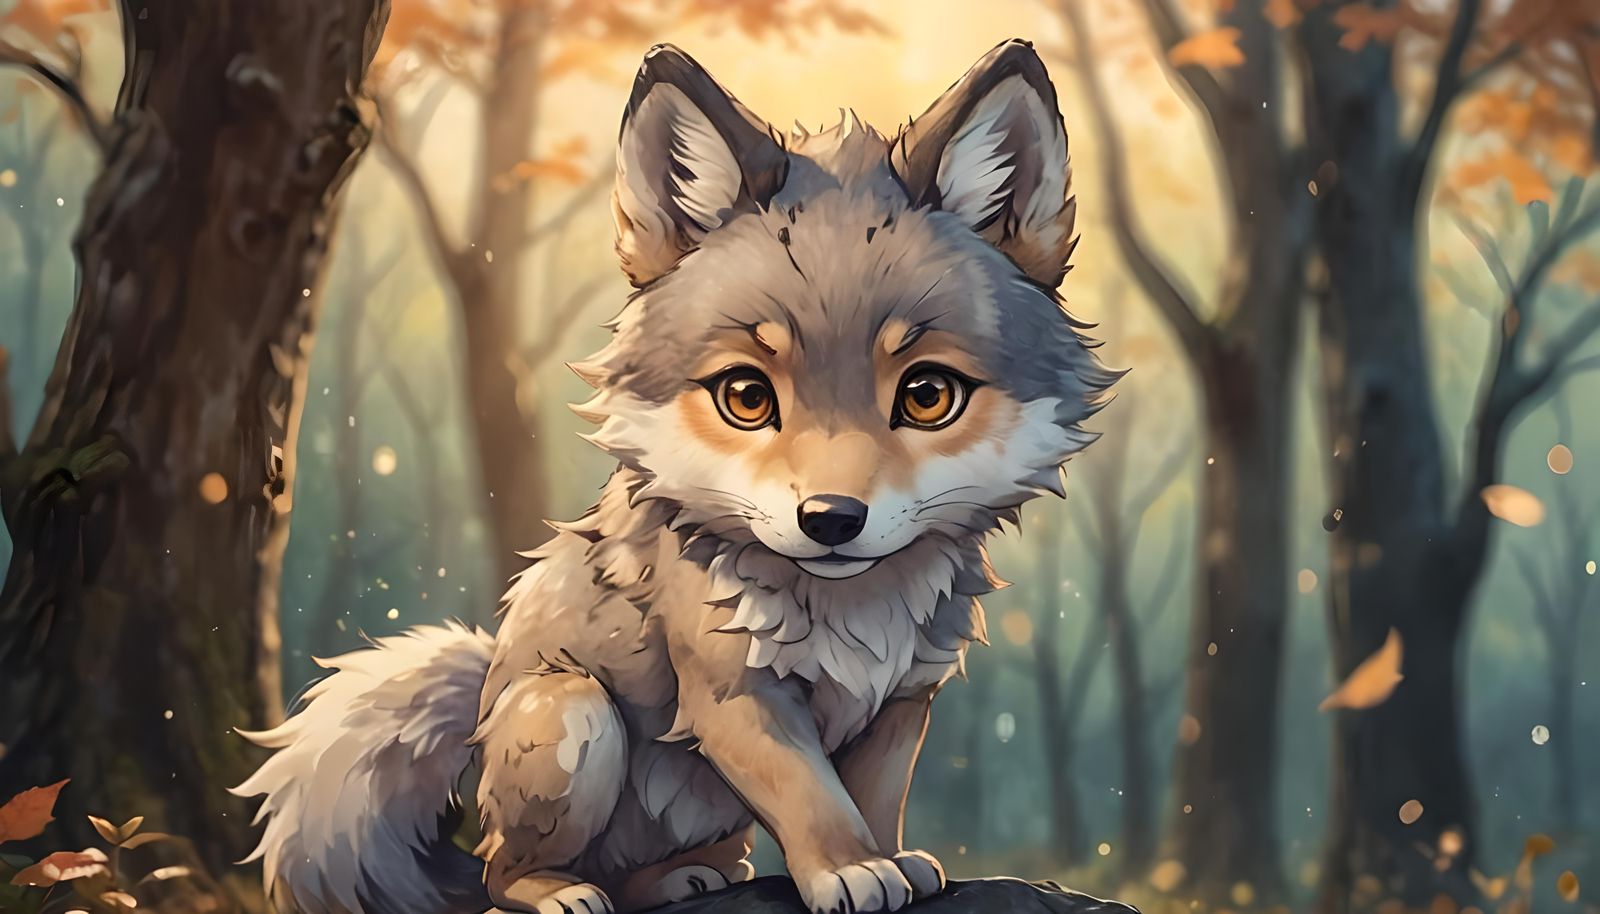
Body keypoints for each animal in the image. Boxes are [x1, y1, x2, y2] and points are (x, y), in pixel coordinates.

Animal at [234, 39, 1116, 914]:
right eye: (747, 397)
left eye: (927, 395)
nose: (831, 519)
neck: (855, 617)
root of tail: (485, 704)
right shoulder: (733, 696)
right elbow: (812, 797)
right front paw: (850, 870)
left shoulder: (902, 700)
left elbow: (873, 800)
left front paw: (890, 860)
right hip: (576, 717)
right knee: (497, 872)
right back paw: (559, 889)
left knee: (678, 869)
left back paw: (678, 879)